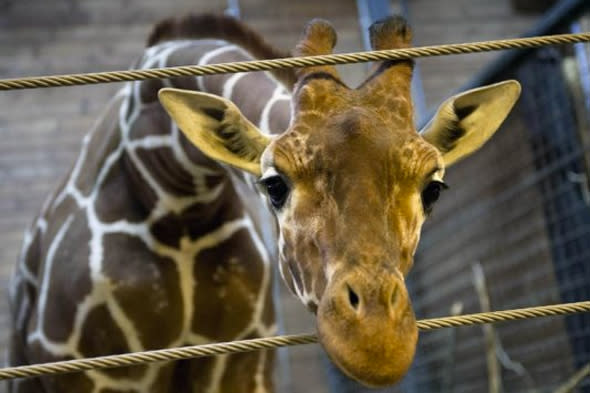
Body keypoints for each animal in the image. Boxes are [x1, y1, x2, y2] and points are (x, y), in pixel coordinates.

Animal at [6, 12, 520, 392]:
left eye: (433, 187)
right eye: (274, 185)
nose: (376, 343)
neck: (175, 195)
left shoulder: (240, 360)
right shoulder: (88, 369)